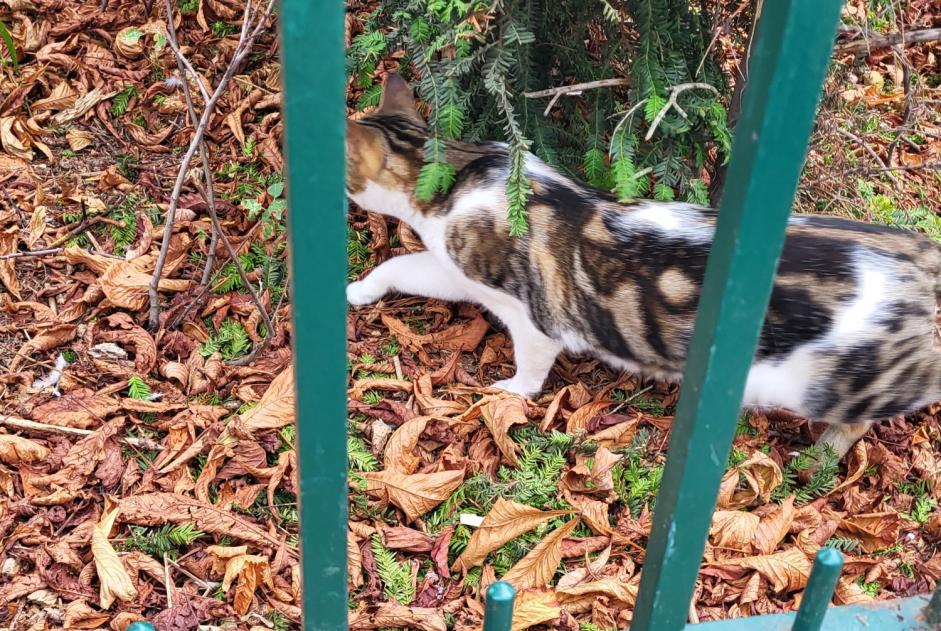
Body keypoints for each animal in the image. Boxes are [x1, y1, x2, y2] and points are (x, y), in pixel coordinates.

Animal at [346, 73, 940, 460]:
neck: (462, 168)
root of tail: (920, 257)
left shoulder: (528, 313)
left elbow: (531, 368)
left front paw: (509, 391)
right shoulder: (453, 270)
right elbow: (402, 264)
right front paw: (358, 291)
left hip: (825, 383)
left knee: (878, 410)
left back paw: (822, 454)